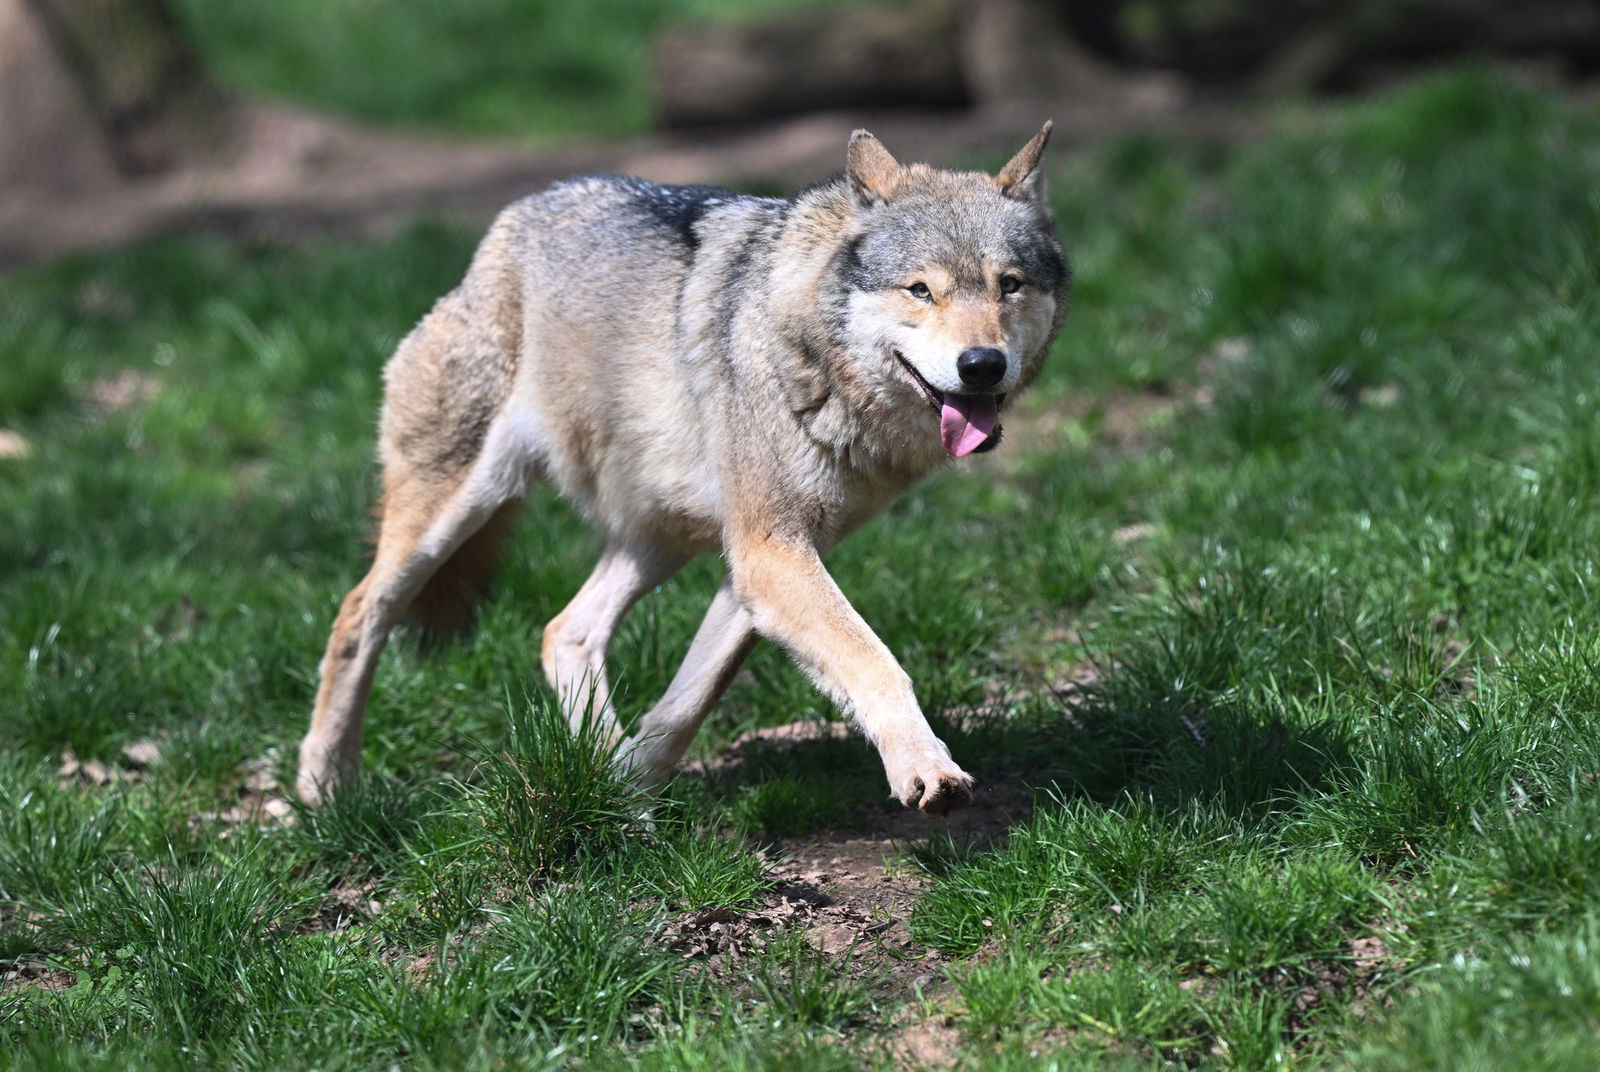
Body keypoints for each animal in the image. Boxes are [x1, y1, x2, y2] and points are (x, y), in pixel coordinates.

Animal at [296, 124, 1068, 815]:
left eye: (1008, 286)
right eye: (921, 290)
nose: (982, 365)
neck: (810, 355)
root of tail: (509, 224)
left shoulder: (759, 566)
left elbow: (687, 704)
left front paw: (627, 795)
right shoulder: (771, 556)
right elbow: (877, 662)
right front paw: (925, 769)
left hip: (664, 537)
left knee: (564, 630)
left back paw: (599, 774)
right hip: (453, 515)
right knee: (357, 614)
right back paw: (324, 786)